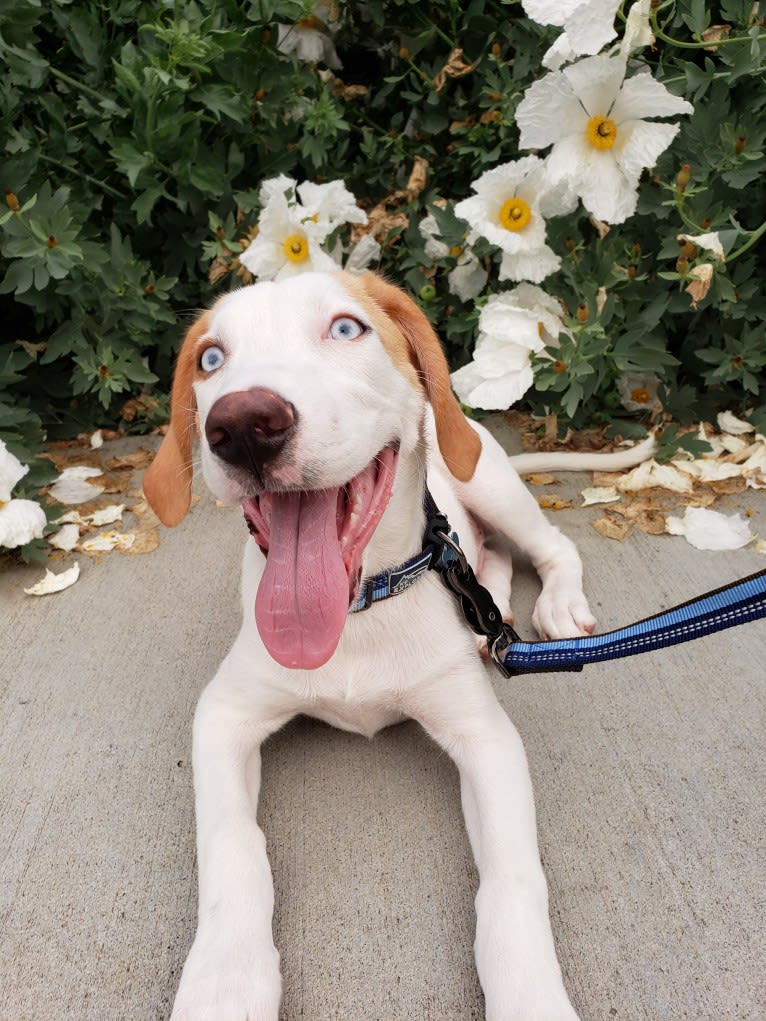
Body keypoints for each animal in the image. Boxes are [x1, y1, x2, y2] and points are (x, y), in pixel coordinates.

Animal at [145, 271, 653, 1021]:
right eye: (211, 359)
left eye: (346, 328)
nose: (241, 424)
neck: (360, 612)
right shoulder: (224, 713)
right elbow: (233, 846)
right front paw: (224, 980)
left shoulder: (486, 739)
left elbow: (512, 881)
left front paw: (530, 994)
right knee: (494, 558)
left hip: (485, 477)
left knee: (550, 545)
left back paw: (554, 602)